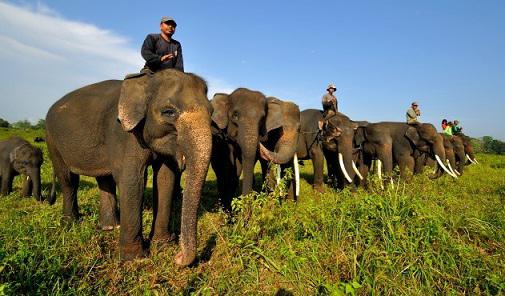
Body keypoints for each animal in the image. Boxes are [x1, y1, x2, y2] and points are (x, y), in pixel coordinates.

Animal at [45, 70, 213, 266]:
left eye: (212, 112)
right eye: (169, 112)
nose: (178, 258)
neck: (146, 80)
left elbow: (166, 178)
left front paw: (162, 245)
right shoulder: (123, 134)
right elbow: (132, 179)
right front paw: (135, 259)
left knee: (105, 179)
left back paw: (109, 227)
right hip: (52, 140)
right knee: (69, 180)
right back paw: (70, 224)